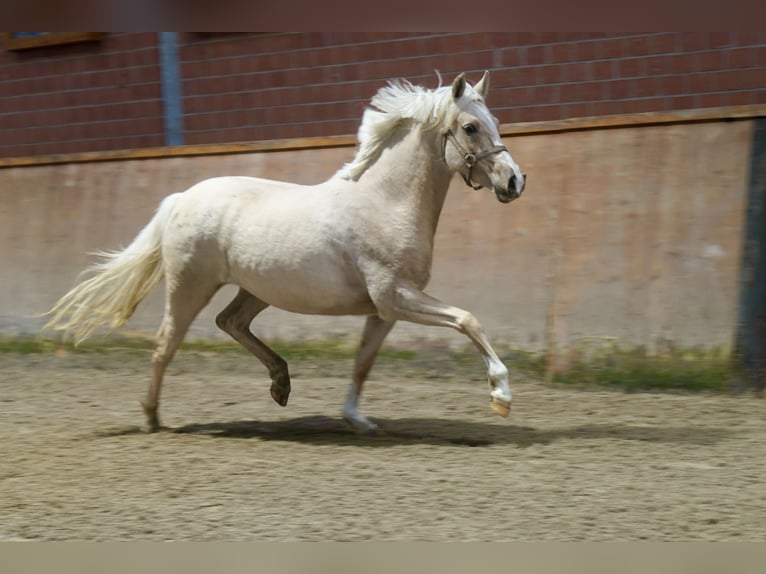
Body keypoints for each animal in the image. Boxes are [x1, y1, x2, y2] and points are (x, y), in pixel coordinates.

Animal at [44, 71, 527, 434]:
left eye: (496, 120)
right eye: (470, 127)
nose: (514, 181)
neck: (384, 202)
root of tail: (182, 197)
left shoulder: (384, 309)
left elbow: (363, 363)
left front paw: (357, 420)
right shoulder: (396, 296)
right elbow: (468, 319)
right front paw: (501, 396)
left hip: (257, 289)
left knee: (230, 322)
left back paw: (280, 384)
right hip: (189, 286)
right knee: (166, 343)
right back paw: (152, 419)